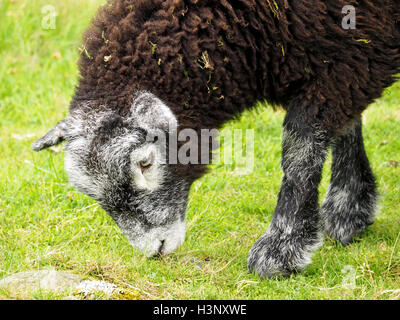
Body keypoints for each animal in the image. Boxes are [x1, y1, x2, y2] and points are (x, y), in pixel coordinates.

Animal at [32, 0, 400, 278]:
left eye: (146, 163)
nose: (155, 250)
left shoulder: (357, 49)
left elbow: (302, 142)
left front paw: (281, 250)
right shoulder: (348, 59)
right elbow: (344, 126)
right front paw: (349, 211)